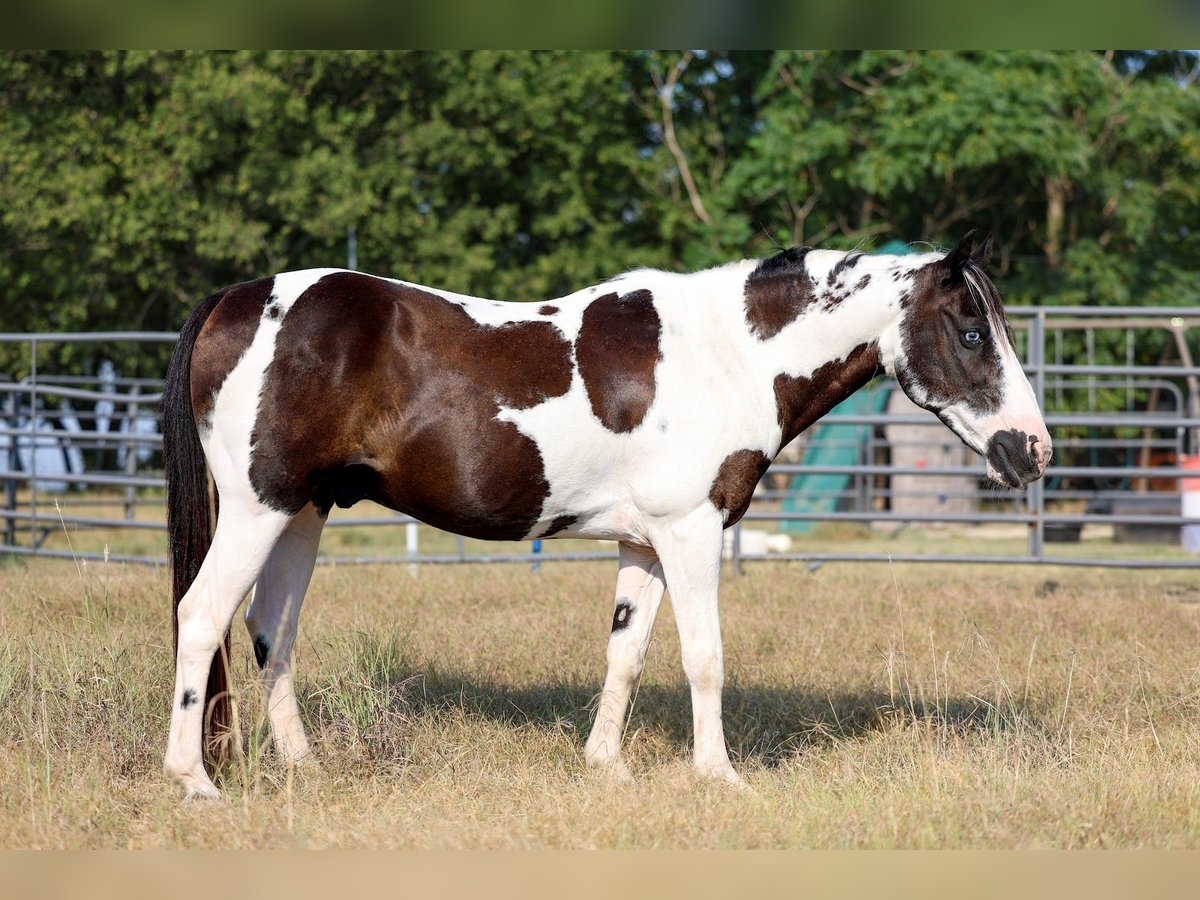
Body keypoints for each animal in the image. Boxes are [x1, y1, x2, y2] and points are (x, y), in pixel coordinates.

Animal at [161, 230, 1051, 799]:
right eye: (973, 334)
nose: (1032, 449)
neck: (727, 355)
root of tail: (235, 299)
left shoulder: (645, 544)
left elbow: (627, 654)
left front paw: (607, 768)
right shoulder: (691, 532)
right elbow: (703, 657)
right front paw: (719, 777)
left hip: (302, 512)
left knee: (271, 630)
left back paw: (302, 768)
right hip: (257, 508)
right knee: (202, 616)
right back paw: (193, 780)